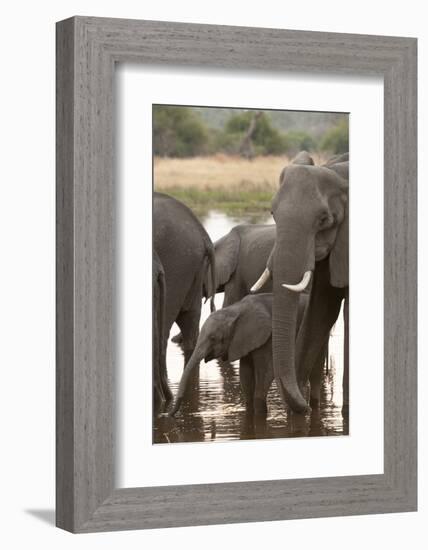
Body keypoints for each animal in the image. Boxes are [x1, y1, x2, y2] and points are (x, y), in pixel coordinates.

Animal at [170, 294, 308, 418]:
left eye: (213, 338)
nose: (169, 414)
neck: (236, 309)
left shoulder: (268, 338)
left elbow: (265, 373)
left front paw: (259, 413)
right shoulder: (242, 341)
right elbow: (245, 375)